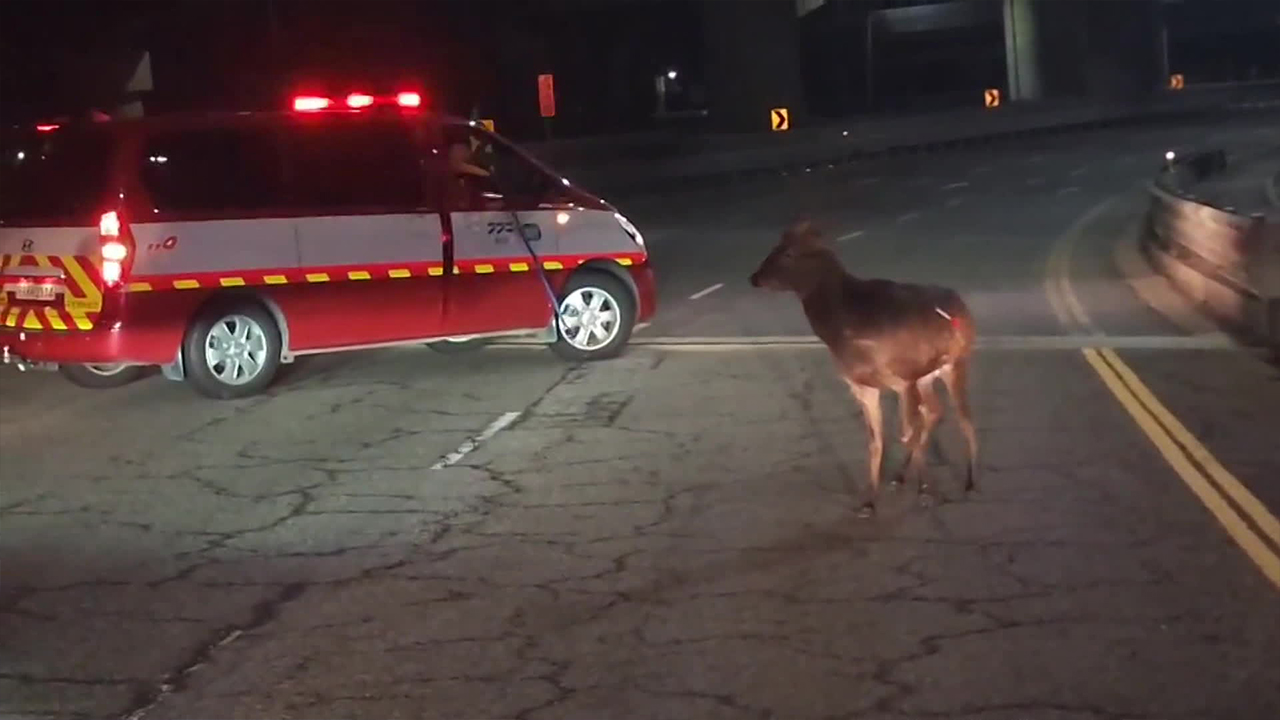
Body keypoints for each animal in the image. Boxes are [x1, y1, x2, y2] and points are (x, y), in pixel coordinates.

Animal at [747, 219, 977, 515]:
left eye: (788, 253)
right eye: (774, 247)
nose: (754, 277)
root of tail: (962, 303)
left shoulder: (904, 377)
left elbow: (907, 433)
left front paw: (926, 491)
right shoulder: (863, 386)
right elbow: (876, 441)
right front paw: (869, 501)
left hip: (956, 362)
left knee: (963, 416)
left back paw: (969, 483)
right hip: (928, 376)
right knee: (936, 410)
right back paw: (900, 477)